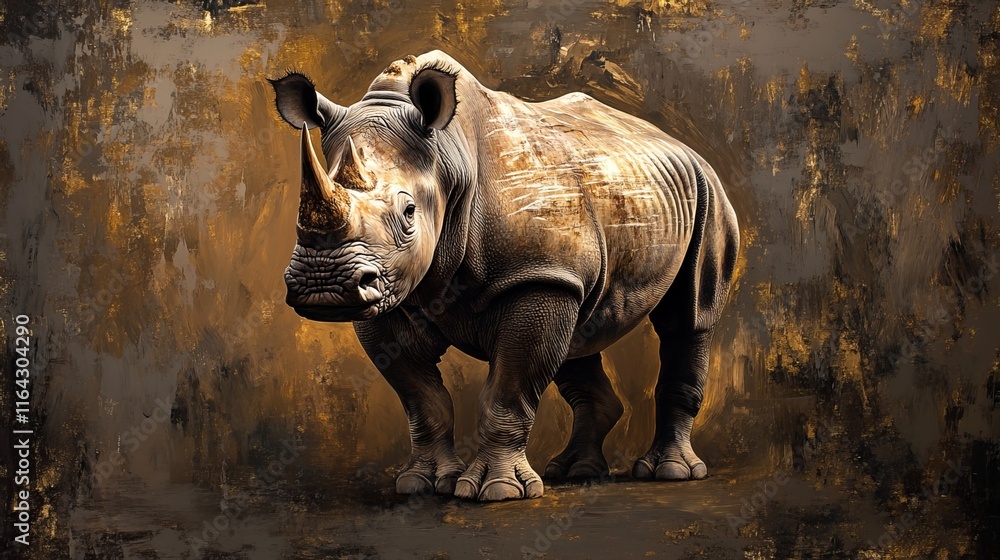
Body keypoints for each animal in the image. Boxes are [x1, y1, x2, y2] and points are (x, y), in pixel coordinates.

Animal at [269, 50, 739, 502]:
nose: (324, 285)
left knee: (688, 319)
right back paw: (575, 472)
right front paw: (423, 483)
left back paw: (669, 472)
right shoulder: (391, 292)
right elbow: (422, 400)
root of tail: (679, 143)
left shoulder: (535, 277)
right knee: (580, 331)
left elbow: (506, 393)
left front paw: (495, 491)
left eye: (408, 213)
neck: (449, 158)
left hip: (708, 194)